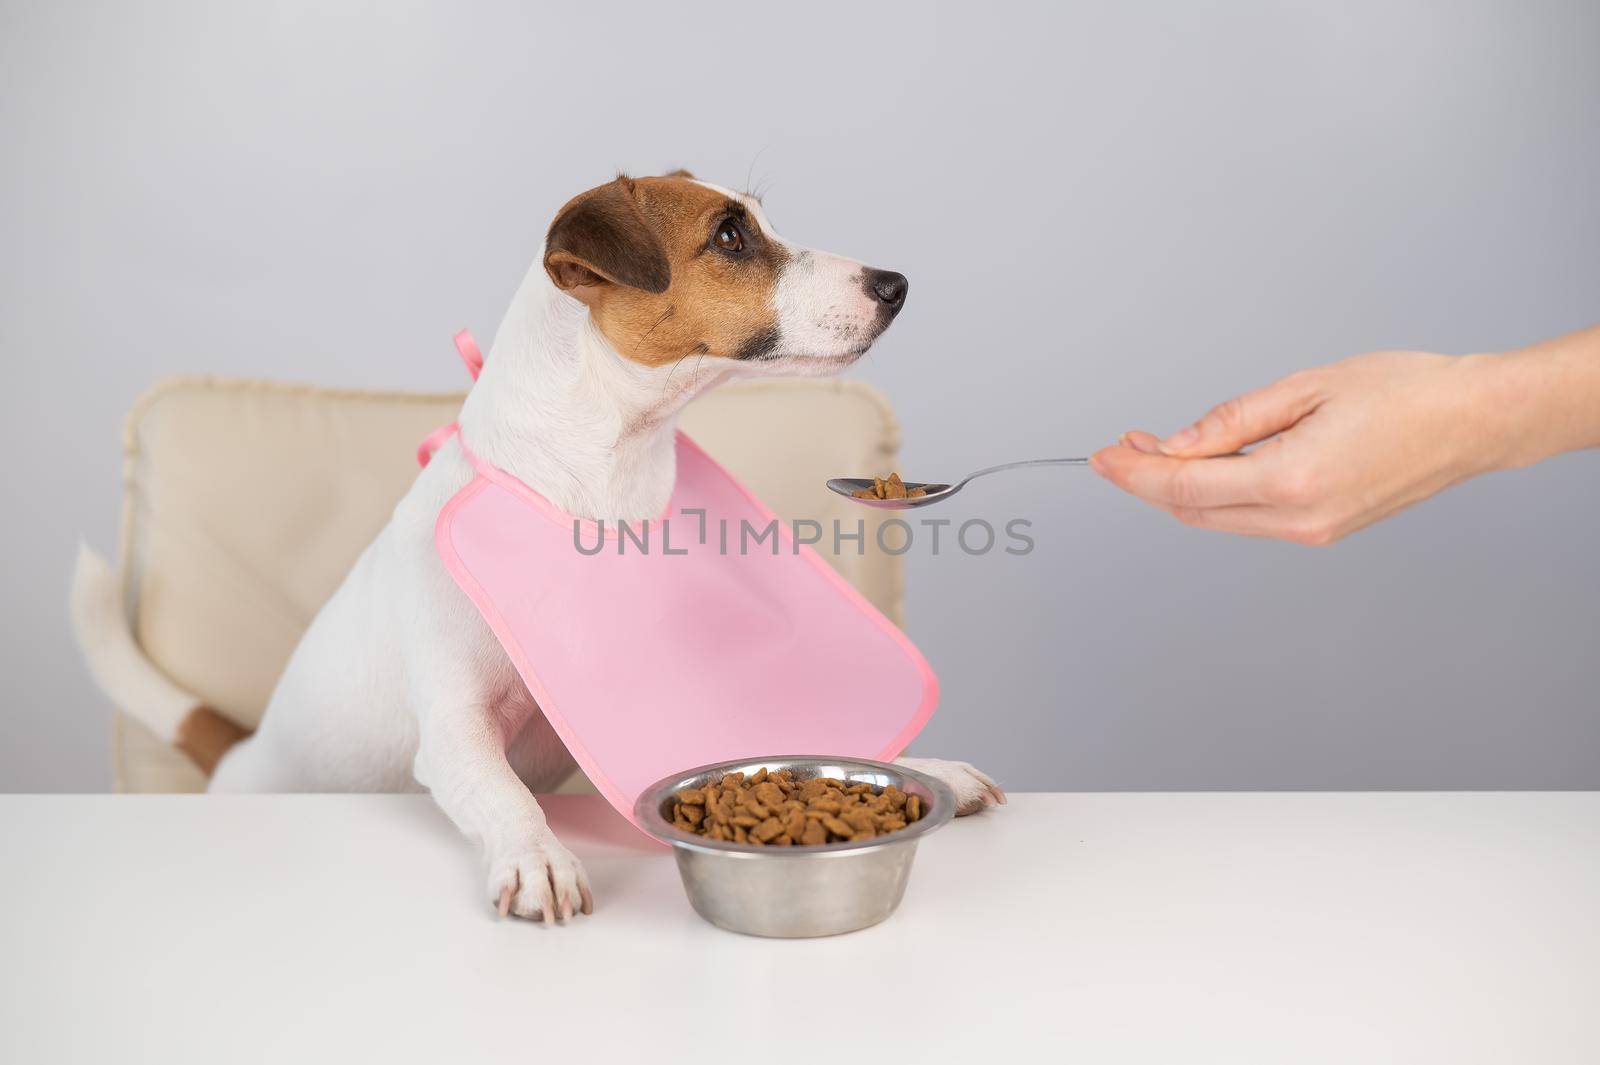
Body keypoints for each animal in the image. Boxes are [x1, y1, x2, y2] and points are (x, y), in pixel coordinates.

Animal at [75, 170, 1004, 914]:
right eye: (729, 235)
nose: (896, 282)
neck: (606, 476)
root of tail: (242, 752)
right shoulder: (455, 731)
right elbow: (503, 794)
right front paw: (537, 857)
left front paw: (926, 765)